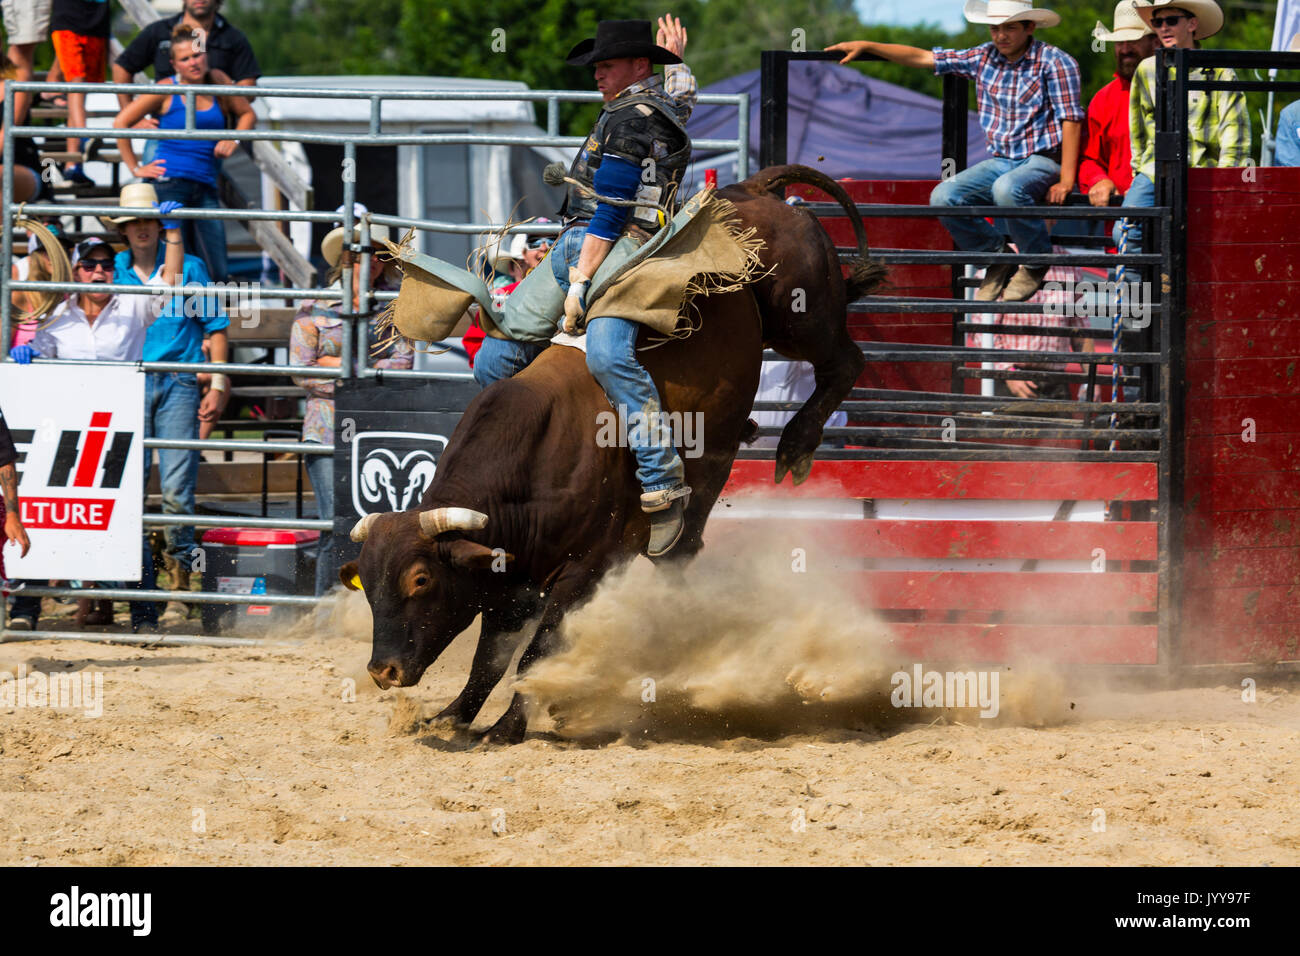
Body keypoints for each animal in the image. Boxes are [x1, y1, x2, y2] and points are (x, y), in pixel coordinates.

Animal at [342, 165, 885, 743]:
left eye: (420, 580)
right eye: (366, 582)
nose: (382, 671)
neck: (537, 461)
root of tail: (753, 189)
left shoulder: (585, 569)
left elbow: (537, 653)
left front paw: (510, 724)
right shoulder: (508, 575)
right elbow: (490, 656)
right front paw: (452, 716)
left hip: (800, 312)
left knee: (844, 361)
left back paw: (795, 445)